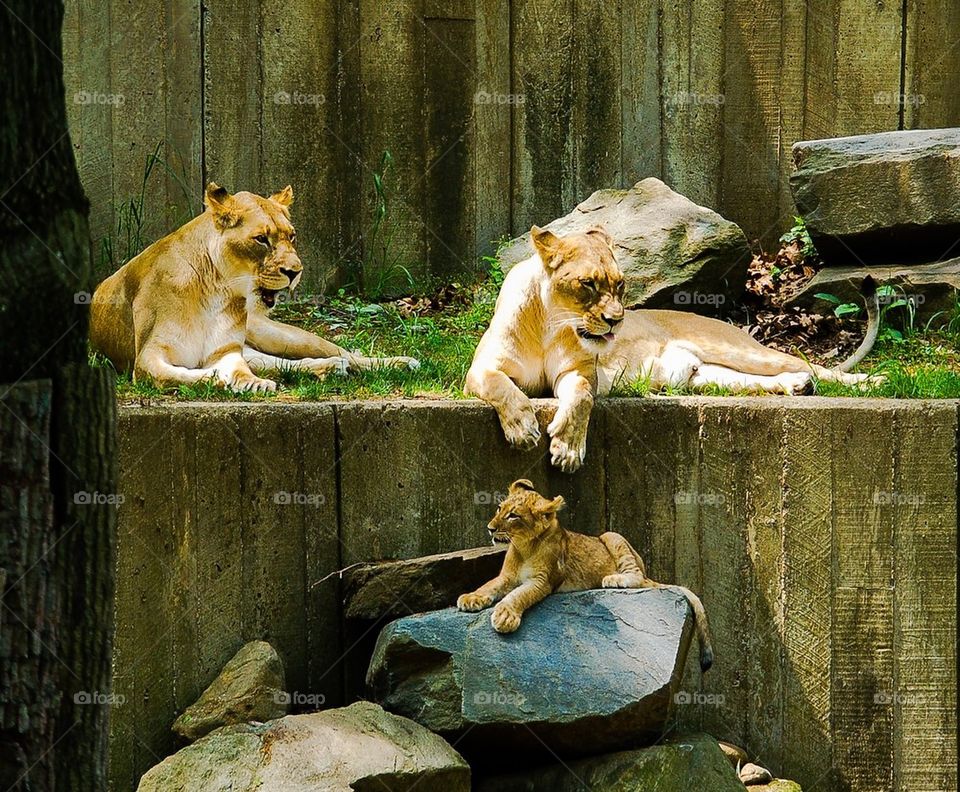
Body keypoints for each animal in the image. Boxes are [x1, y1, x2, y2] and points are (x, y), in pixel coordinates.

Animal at [90, 183, 419, 392]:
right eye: (261, 239)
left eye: (291, 236)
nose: (295, 271)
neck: (215, 289)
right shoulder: (148, 356)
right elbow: (174, 375)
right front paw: (215, 380)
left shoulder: (226, 350)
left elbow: (236, 369)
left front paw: (250, 383)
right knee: (283, 364)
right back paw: (329, 368)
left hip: (279, 335)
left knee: (345, 354)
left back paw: (399, 363)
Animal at [457, 479, 714, 672]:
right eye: (499, 509)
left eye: (514, 516)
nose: (490, 528)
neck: (523, 547)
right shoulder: (506, 577)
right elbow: (488, 585)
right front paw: (471, 598)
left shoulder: (543, 582)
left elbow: (519, 595)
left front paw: (505, 616)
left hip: (611, 535)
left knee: (638, 578)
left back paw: (613, 579)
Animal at [465, 226, 878, 472]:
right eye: (588, 284)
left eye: (619, 284)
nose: (616, 320)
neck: (550, 324)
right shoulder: (479, 370)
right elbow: (501, 387)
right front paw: (523, 429)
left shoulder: (579, 372)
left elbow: (581, 397)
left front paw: (566, 448)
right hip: (710, 377)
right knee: (771, 378)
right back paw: (796, 387)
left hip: (740, 350)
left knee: (816, 367)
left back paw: (871, 381)